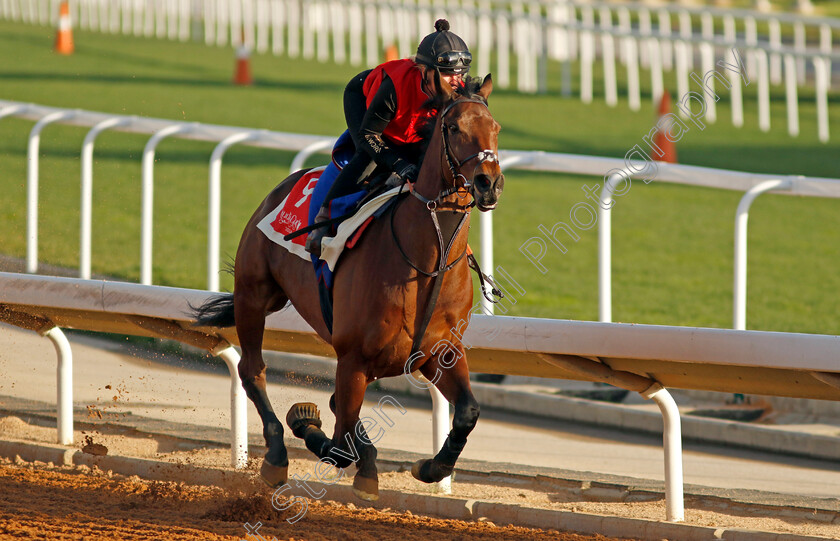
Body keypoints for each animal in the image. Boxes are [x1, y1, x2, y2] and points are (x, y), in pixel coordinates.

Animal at [194, 69, 502, 500]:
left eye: (495, 128)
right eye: (454, 127)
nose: (488, 183)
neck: (428, 262)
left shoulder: (440, 351)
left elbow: (468, 412)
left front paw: (430, 467)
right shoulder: (353, 357)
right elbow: (338, 443)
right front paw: (306, 420)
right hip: (253, 295)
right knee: (253, 370)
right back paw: (276, 455)